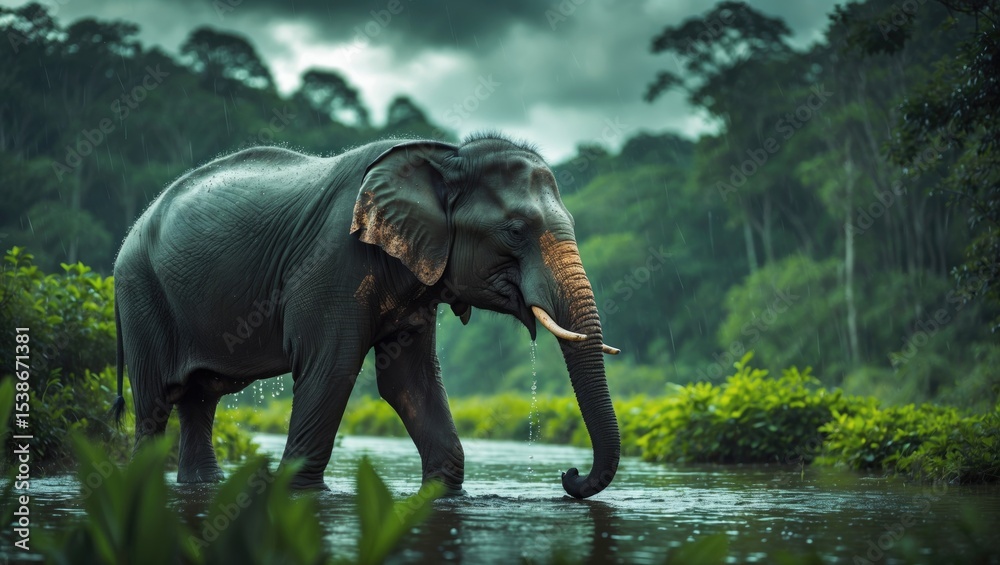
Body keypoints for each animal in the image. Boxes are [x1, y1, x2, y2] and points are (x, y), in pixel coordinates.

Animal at [111, 133, 621, 499]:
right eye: (515, 231)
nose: (569, 475)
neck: (446, 157)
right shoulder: (332, 264)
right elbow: (331, 370)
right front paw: (301, 494)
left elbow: (409, 381)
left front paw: (441, 493)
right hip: (140, 292)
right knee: (156, 402)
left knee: (201, 399)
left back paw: (203, 486)